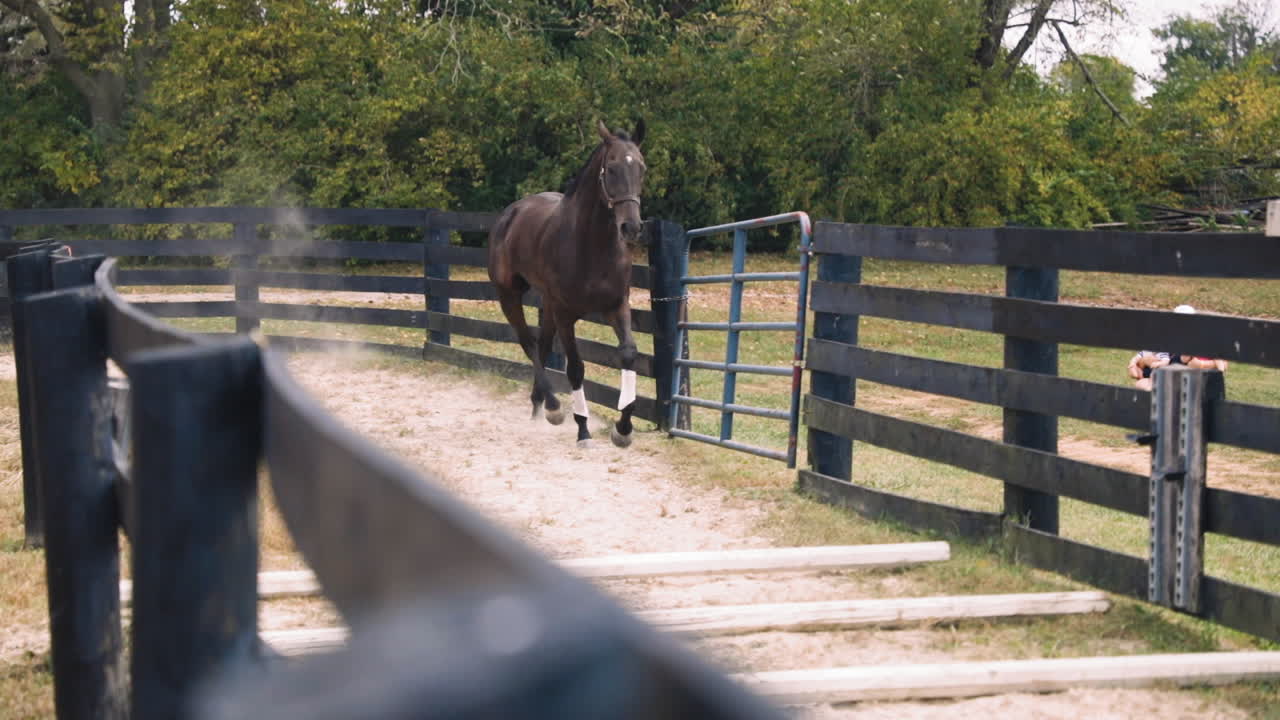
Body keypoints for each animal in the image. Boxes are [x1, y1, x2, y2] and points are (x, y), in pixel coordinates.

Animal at [487, 119, 647, 449]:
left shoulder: (617, 306)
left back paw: (539, 406)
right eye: (611, 168)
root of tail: (510, 213)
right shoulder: (565, 314)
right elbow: (575, 368)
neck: (591, 246)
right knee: (529, 344)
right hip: (509, 296)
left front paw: (623, 429)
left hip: (546, 303)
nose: (632, 227)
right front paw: (583, 429)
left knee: (542, 344)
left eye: (641, 168)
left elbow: (628, 354)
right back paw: (552, 407)